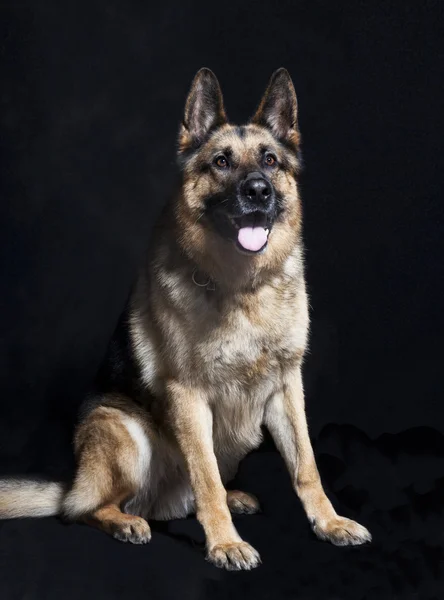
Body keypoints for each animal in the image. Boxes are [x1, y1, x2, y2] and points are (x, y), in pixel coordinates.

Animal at [0, 68, 372, 568]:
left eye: (271, 160)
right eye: (221, 162)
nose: (258, 191)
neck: (242, 286)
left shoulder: (287, 387)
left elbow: (306, 466)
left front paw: (329, 523)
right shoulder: (189, 396)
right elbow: (207, 477)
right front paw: (226, 544)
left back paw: (228, 499)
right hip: (122, 429)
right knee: (84, 509)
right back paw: (124, 522)